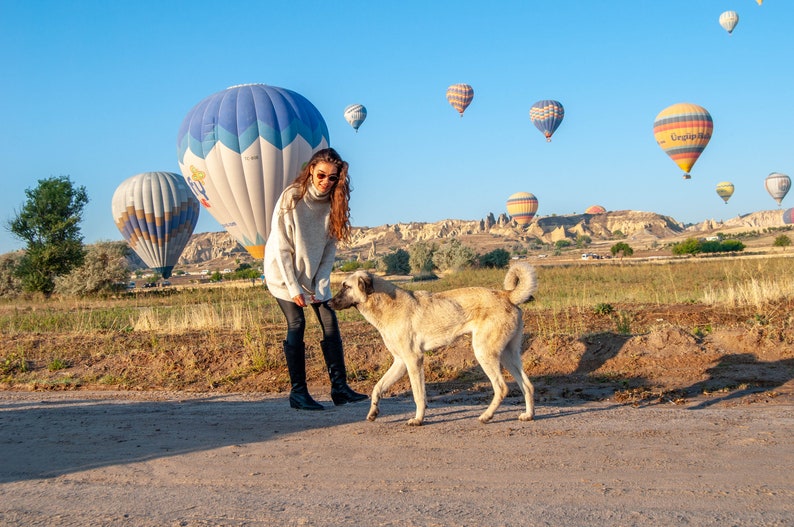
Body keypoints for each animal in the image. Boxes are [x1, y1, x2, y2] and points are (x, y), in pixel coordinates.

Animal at [324, 262, 536, 426]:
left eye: (346, 286)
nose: (328, 303)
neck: (386, 305)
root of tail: (507, 294)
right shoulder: (400, 362)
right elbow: (378, 387)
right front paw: (373, 412)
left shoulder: (413, 360)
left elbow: (418, 395)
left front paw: (418, 419)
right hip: (508, 356)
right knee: (527, 385)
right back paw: (529, 415)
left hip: (484, 353)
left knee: (502, 387)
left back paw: (486, 416)